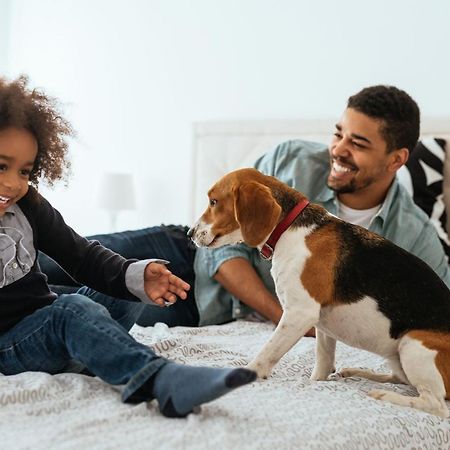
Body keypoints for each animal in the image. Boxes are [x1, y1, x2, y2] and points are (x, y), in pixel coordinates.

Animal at [188, 167, 450, 416]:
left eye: (213, 202)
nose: (190, 234)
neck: (287, 228)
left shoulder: (299, 314)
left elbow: (267, 352)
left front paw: (244, 375)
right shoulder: (323, 326)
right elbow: (322, 365)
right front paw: (319, 381)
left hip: (413, 345)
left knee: (435, 404)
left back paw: (382, 395)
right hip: (397, 356)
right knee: (401, 380)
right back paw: (357, 373)